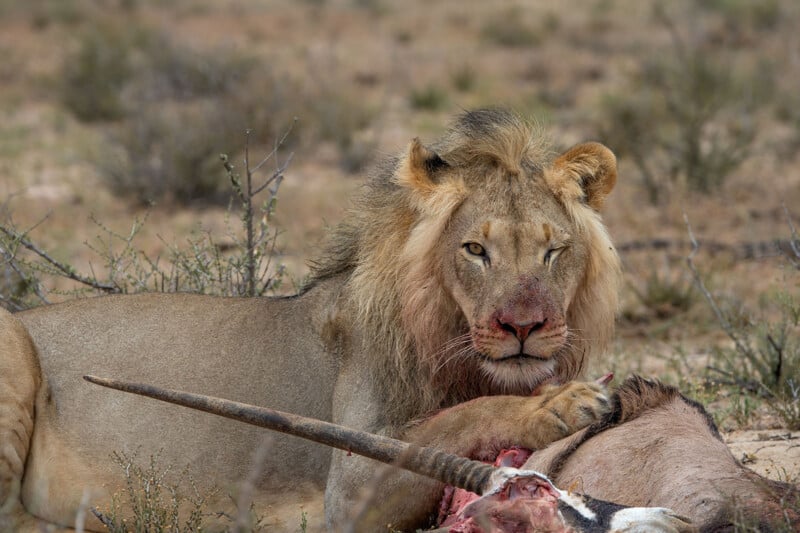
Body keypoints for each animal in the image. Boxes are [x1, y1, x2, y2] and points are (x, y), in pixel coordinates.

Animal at [0, 109, 622, 531]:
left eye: (554, 251)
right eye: (475, 250)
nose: (525, 327)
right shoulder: (349, 489)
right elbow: (459, 419)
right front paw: (563, 403)